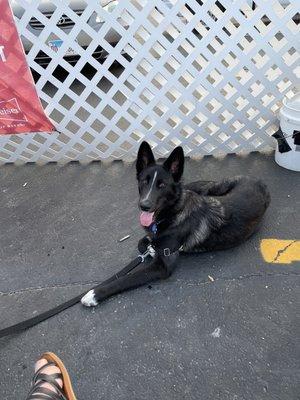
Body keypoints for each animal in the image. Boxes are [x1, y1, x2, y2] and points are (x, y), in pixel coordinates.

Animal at [81, 141, 270, 306]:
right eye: (144, 181)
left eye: (162, 185)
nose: (144, 205)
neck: (172, 212)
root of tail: (260, 182)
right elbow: (142, 243)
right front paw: (149, 247)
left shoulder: (163, 266)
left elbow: (126, 279)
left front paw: (94, 294)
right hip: (211, 188)